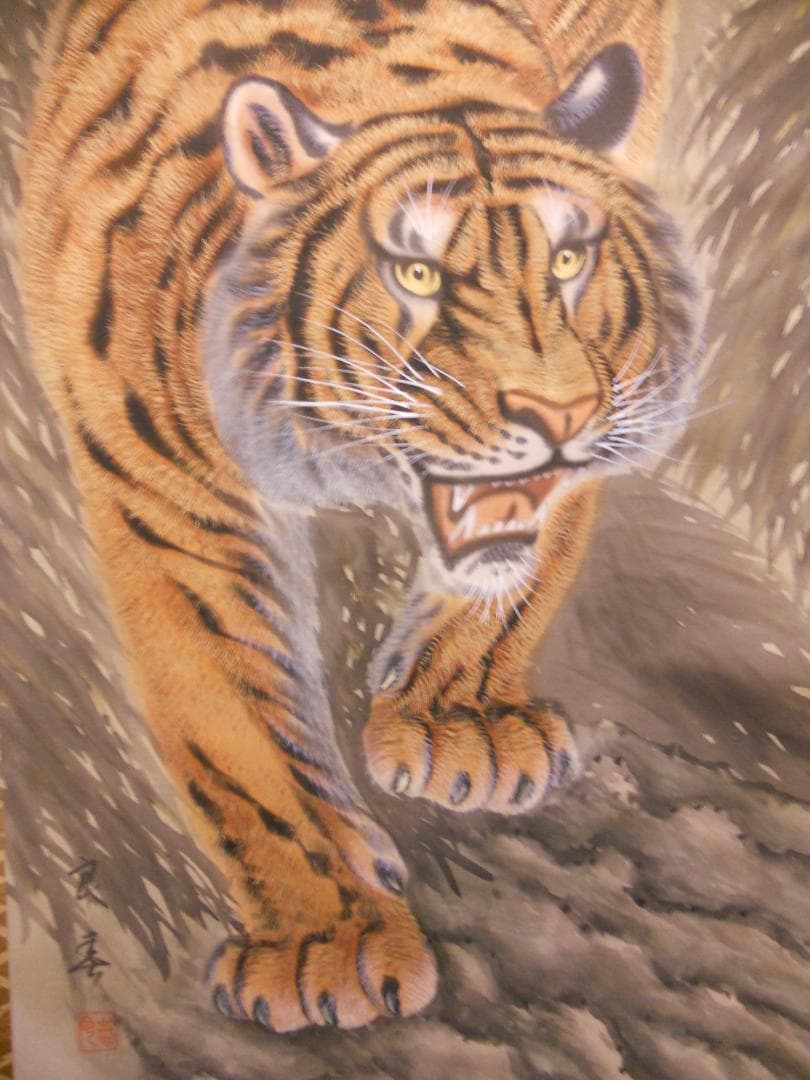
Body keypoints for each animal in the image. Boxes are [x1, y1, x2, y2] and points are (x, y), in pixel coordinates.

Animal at [23, 0, 696, 1033]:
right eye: (416, 275)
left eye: (569, 261)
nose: (557, 416)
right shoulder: (164, 495)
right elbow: (231, 728)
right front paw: (323, 941)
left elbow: (522, 567)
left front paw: (460, 722)